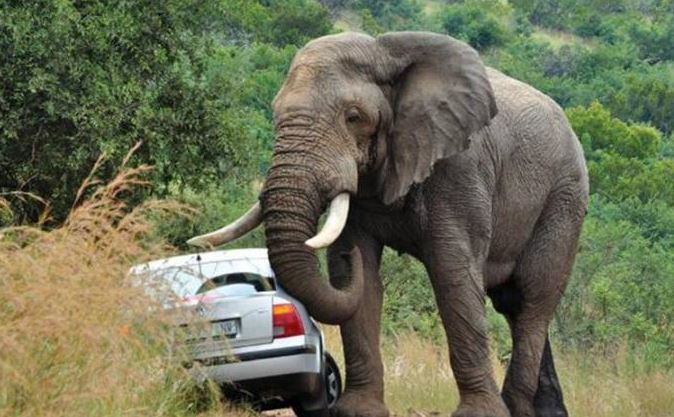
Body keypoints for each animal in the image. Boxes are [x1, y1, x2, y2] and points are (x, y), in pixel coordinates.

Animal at [186, 30, 584, 416]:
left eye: (353, 116)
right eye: (275, 113)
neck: (384, 51)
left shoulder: (460, 167)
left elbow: (452, 273)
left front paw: (479, 413)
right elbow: (358, 276)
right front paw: (358, 410)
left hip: (564, 198)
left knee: (533, 297)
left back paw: (516, 406)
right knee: (513, 304)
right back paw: (545, 412)